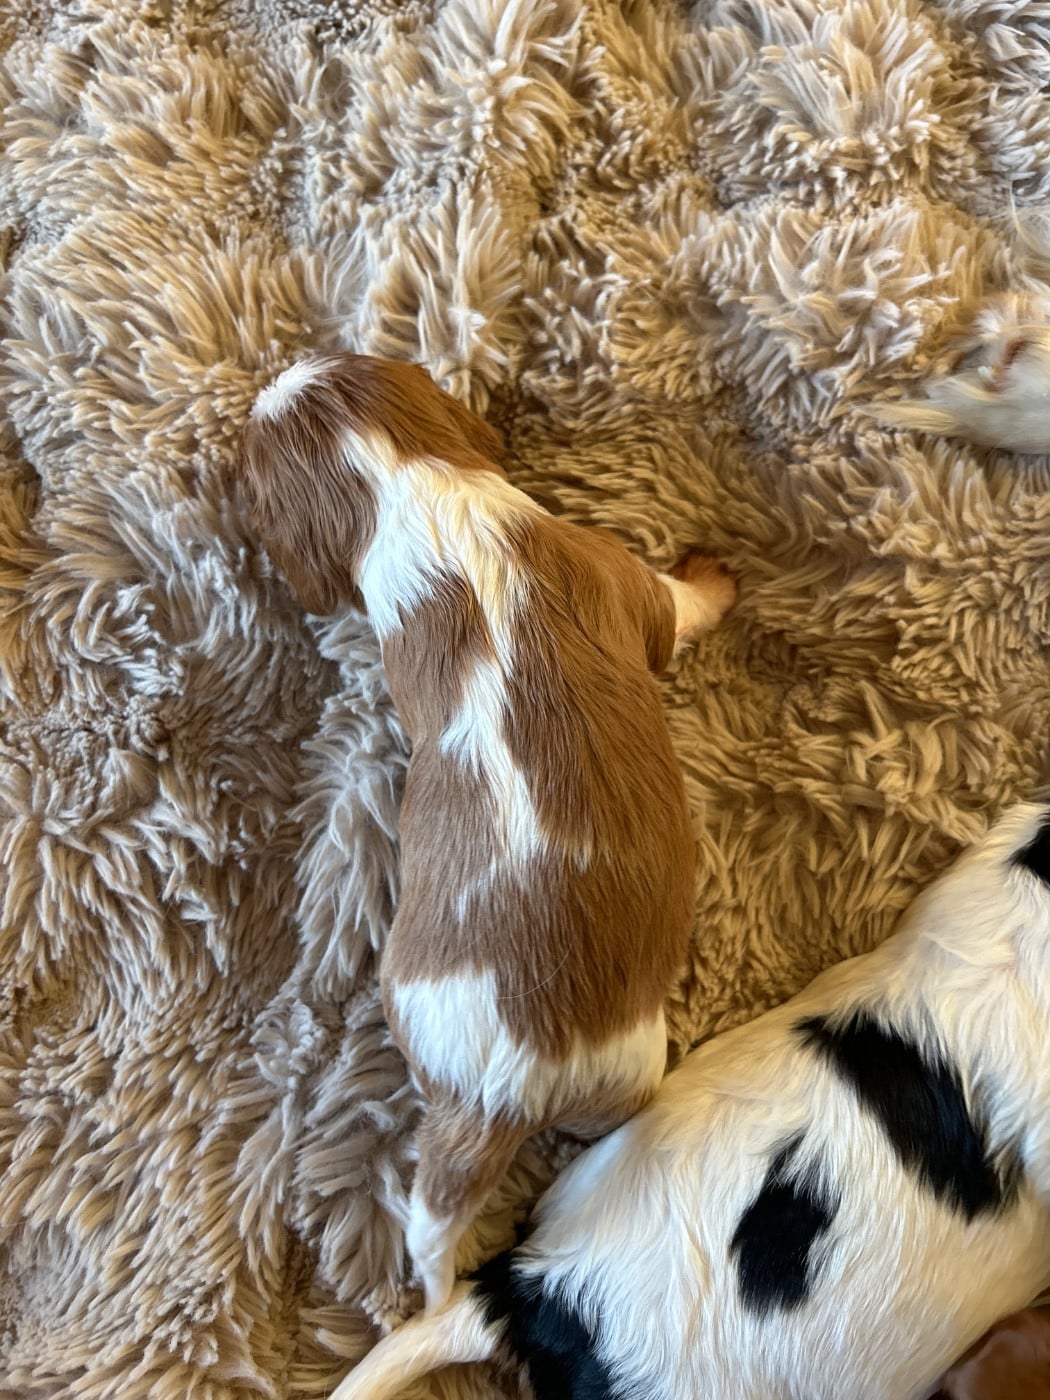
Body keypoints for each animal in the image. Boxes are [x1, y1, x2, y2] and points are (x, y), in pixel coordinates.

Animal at [237, 353, 736, 1312]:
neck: (408, 485)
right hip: (631, 1064)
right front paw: (715, 576)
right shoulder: (623, 579)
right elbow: (680, 604)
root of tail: (494, 1094)